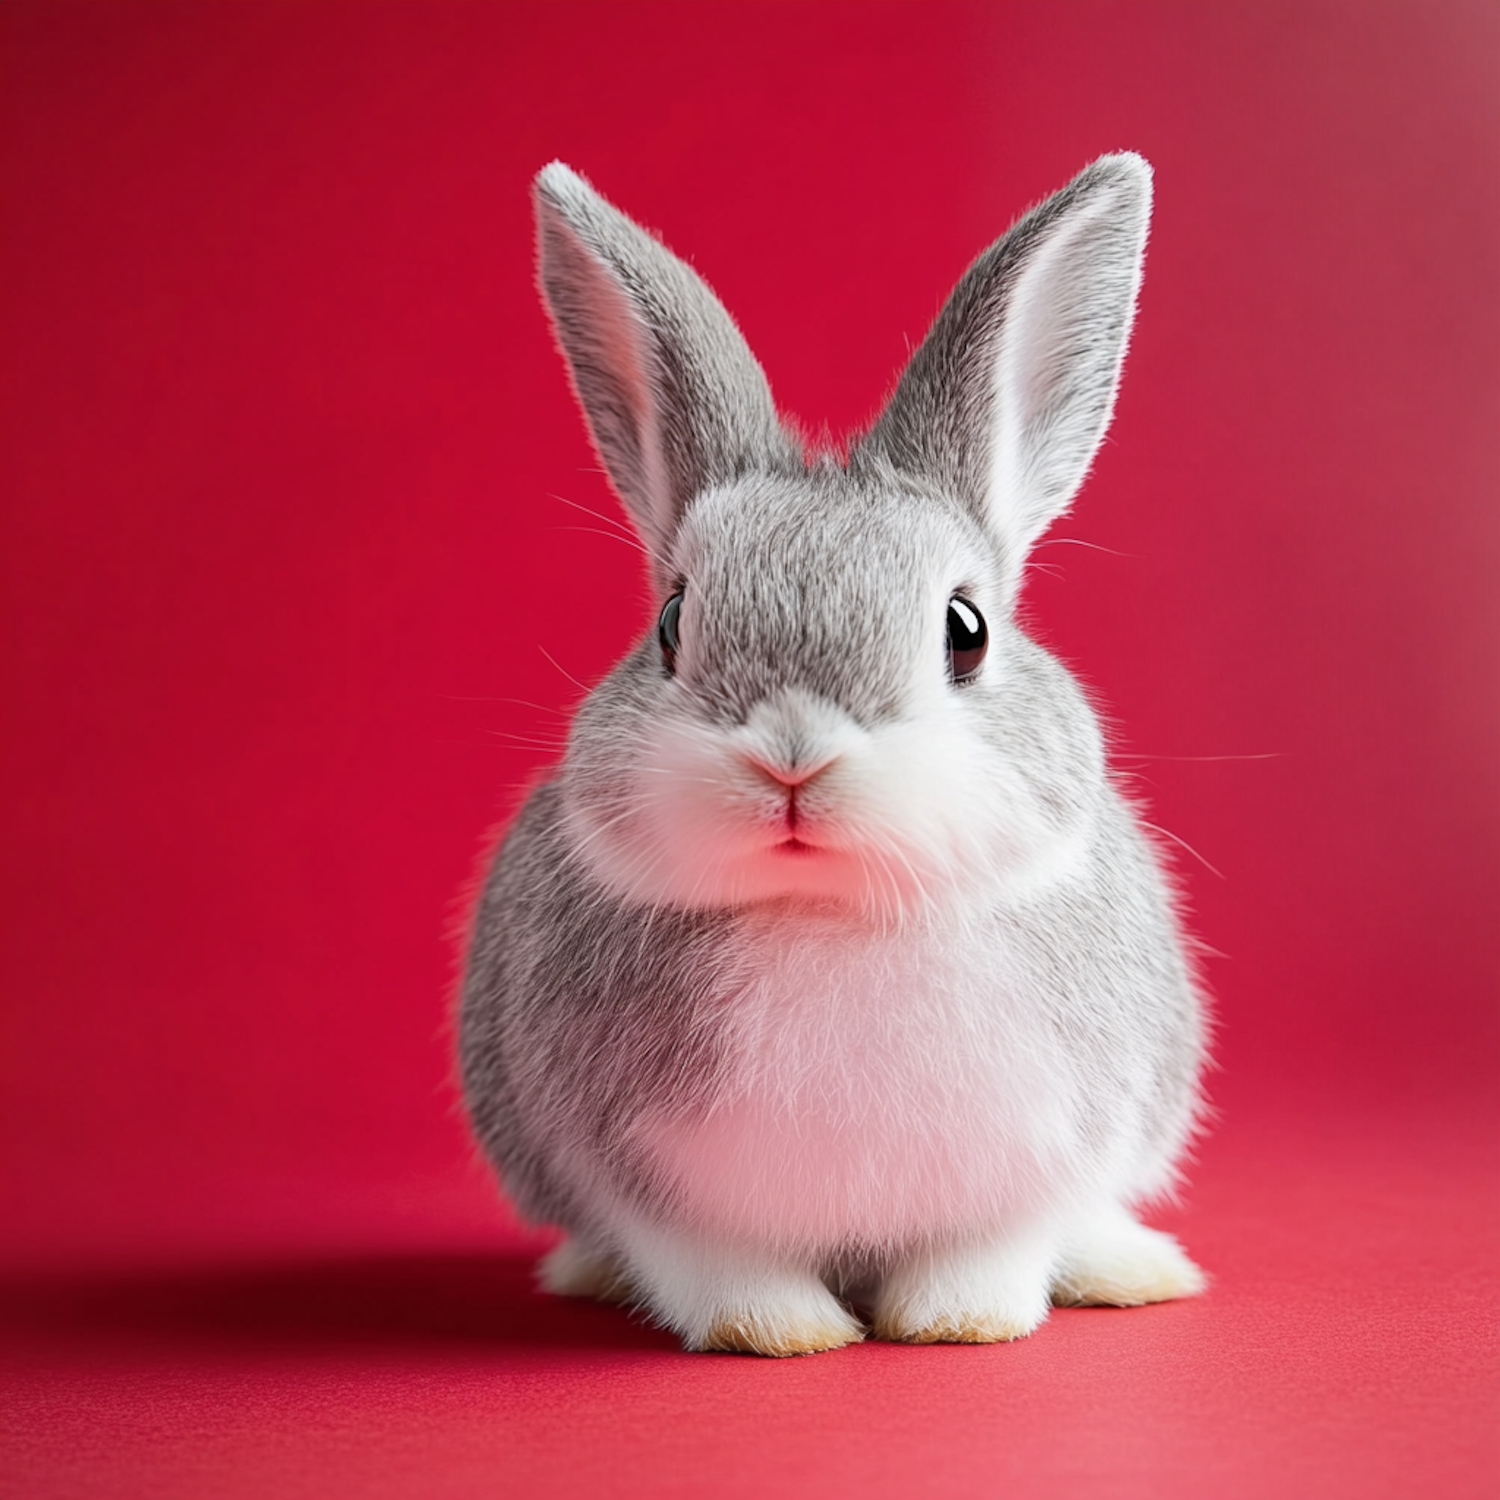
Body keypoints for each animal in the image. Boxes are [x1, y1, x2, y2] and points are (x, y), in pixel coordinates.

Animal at [456, 155, 1206, 1362]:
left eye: (965, 630)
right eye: (671, 624)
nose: (793, 758)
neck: (831, 912)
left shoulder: (1045, 1158)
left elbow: (992, 1250)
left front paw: (958, 1325)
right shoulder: (651, 1188)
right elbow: (720, 1270)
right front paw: (781, 1334)